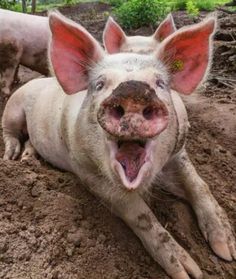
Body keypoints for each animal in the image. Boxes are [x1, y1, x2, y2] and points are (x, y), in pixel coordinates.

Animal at [2, 11, 236, 279]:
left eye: (160, 83)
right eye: (100, 84)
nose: (132, 88)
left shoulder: (179, 152)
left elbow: (199, 185)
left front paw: (226, 252)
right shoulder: (87, 172)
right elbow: (140, 214)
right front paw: (189, 272)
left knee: (30, 140)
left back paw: (28, 157)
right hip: (13, 109)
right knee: (10, 132)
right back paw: (12, 157)